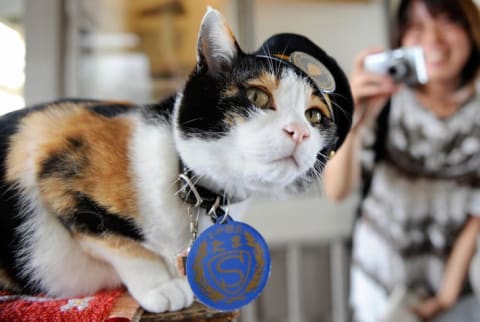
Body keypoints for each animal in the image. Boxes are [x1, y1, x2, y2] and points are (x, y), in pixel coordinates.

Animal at [0, 8, 352, 314]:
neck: (196, 189)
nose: (300, 133)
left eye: (314, 116)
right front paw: (162, 285)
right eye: (257, 97)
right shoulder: (53, 152)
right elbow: (121, 241)